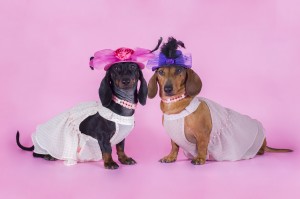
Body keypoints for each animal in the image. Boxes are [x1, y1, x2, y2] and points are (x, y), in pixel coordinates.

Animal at [16, 39, 162, 169]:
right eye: (116, 69)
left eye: (132, 67)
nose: (125, 81)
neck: (123, 105)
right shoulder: (102, 136)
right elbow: (107, 150)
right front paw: (109, 163)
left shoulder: (122, 135)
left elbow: (120, 147)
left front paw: (124, 159)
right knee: (36, 154)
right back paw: (48, 155)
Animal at [146, 37, 292, 165]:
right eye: (161, 72)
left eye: (178, 70)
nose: (167, 89)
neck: (176, 106)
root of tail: (264, 143)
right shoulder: (174, 136)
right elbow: (174, 146)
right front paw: (170, 157)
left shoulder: (203, 134)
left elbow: (202, 146)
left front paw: (200, 158)